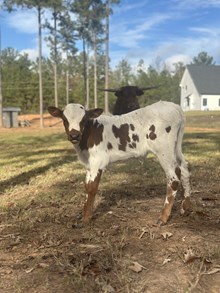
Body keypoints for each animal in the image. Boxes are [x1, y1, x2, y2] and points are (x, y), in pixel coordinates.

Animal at [48, 100, 191, 224]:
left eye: (83, 120)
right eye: (64, 119)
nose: (74, 136)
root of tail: (174, 106)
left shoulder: (98, 161)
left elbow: (92, 187)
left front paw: (87, 217)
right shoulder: (89, 164)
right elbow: (87, 186)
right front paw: (84, 213)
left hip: (164, 150)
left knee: (173, 178)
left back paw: (163, 217)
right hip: (176, 147)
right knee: (184, 169)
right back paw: (185, 209)